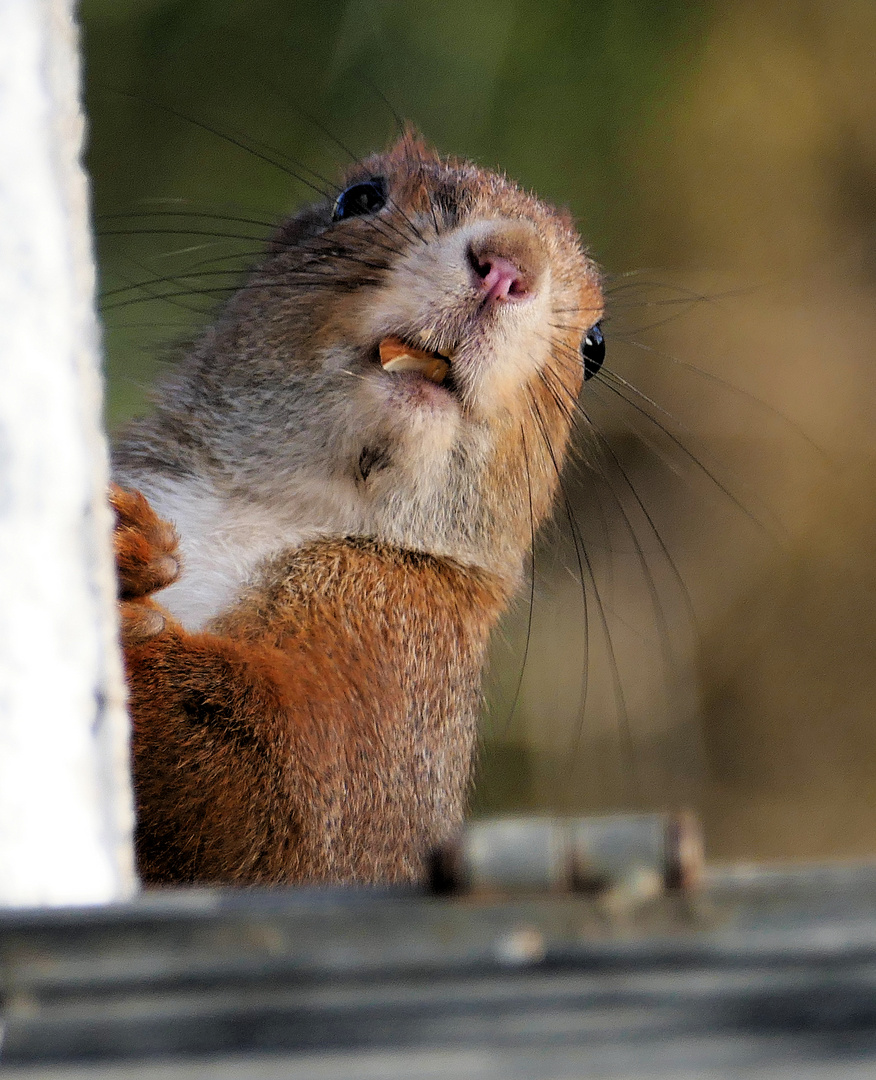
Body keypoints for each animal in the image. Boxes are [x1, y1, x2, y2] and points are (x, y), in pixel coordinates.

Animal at [111, 130, 604, 885]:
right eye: (359, 197)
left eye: (595, 348)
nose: (508, 265)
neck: (272, 505)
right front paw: (123, 538)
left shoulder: (399, 663)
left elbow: (272, 795)